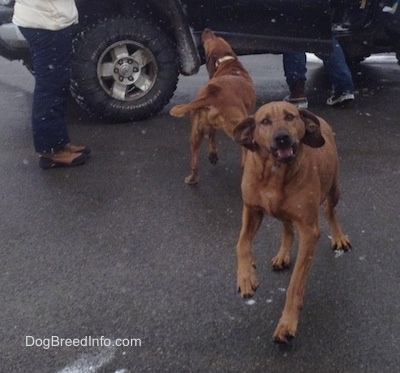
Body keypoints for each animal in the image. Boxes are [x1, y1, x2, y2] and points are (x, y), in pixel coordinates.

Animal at [170, 26, 256, 184]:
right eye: (208, 42)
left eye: (216, 37)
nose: (207, 29)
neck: (227, 63)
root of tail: (210, 96)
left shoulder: (209, 127)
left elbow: (212, 137)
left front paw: (213, 156)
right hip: (237, 125)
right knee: (245, 148)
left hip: (195, 133)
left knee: (195, 163)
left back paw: (192, 179)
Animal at [233, 100, 352, 342]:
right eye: (265, 121)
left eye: (290, 116)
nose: (282, 137)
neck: (275, 174)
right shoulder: (252, 210)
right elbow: (241, 244)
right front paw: (246, 276)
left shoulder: (309, 231)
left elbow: (295, 284)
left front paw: (287, 323)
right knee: (286, 227)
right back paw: (282, 254)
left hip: (334, 189)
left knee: (329, 210)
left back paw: (338, 236)